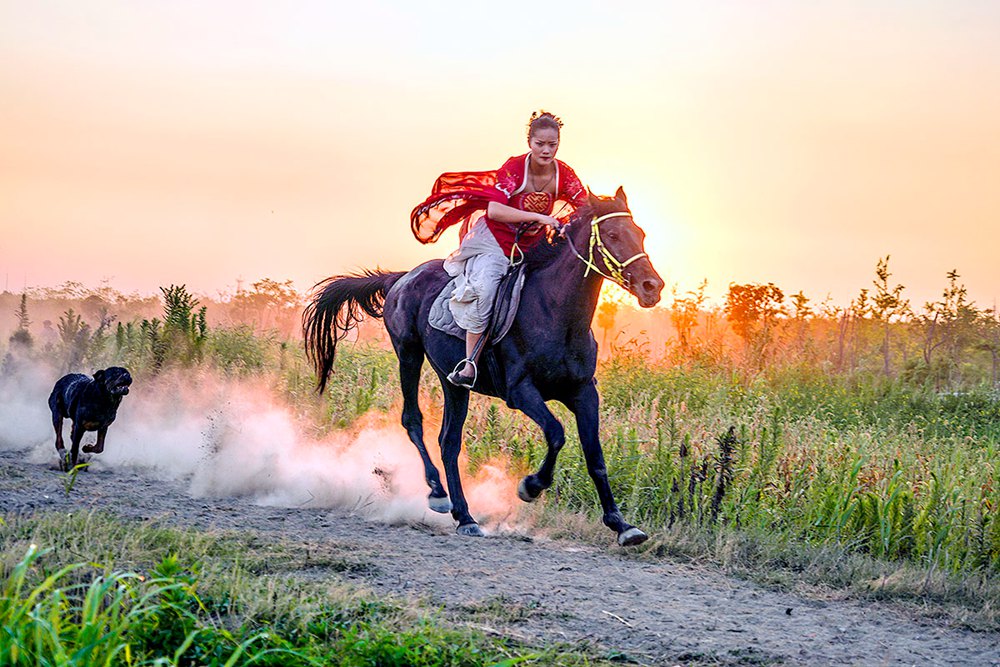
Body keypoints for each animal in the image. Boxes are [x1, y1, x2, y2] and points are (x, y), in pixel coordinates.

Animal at [302, 189, 664, 548]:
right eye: (613, 235)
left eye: (641, 234)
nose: (652, 287)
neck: (556, 314)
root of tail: (401, 279)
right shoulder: (521, 391)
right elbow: (556, 433)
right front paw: (530, 486)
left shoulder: (584, 392)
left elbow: (595, 457)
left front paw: (621, 524)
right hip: (409, 354)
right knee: (413, 421)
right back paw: (438, 494)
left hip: (452, 382)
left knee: (448, 441)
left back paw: (464, 516)